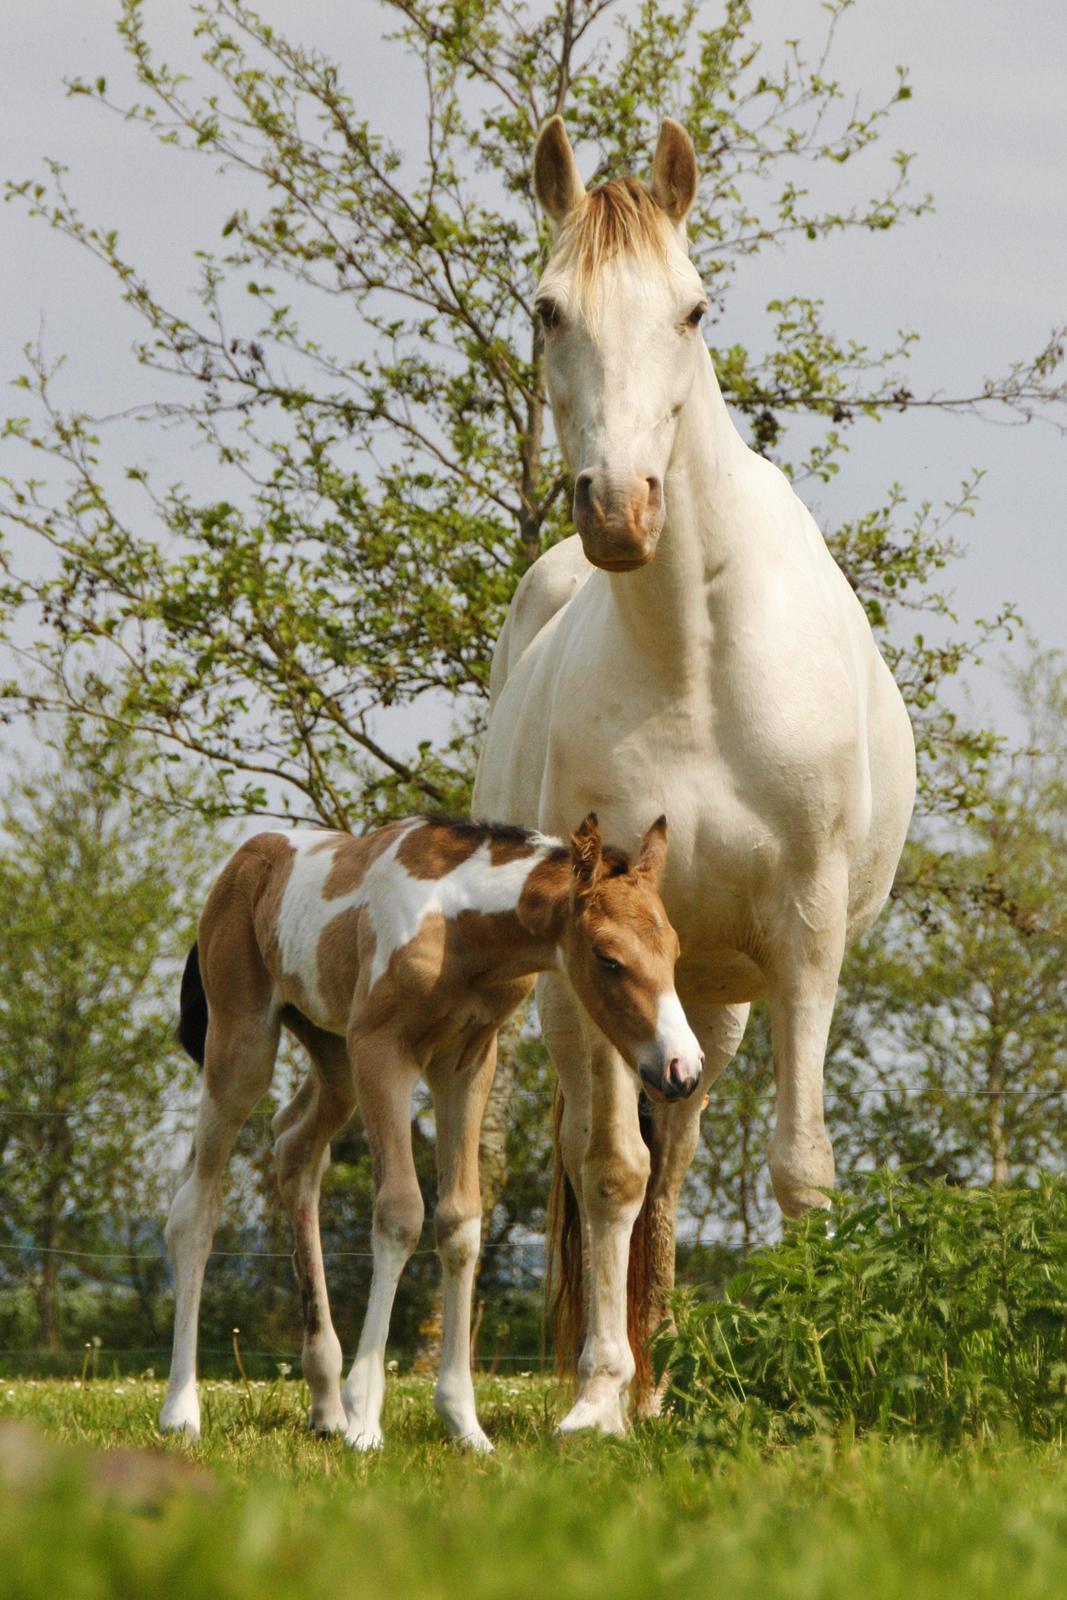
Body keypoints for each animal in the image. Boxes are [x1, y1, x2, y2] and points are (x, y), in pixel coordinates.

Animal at [158, 812, 700, 1452]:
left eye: (675, 950)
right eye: (608, 957)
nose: (682, 1070)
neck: (457, 922)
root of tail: (243, 861)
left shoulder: (466, 1062)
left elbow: (460, 1221)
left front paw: (464, 1424)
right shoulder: (382, 1050)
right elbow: (399, 1213)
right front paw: (366, 1419)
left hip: (333, 1054)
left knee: (294, 1144)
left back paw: (324, 1404)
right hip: (243, 1046)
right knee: (195, 1205)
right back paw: (183, 1410)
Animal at [476, 118, 921, 1433]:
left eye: (691, 308)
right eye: (547, 308)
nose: (620, 512)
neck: (693, 653)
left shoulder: (804, 938)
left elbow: (797, 1168)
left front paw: (810, 1379)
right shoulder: (595, 942)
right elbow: (605, 1165)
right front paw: (594, 1394)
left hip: (716, 998)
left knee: (677, 1147)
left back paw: (665, 1373)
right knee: (609, 1152)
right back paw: (625, 1375)